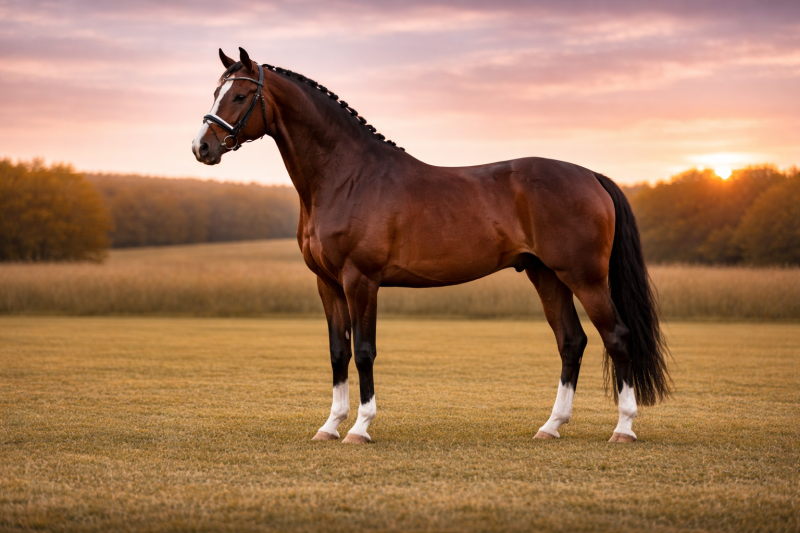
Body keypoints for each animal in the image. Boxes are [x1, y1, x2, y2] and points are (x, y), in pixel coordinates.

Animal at [192, 47, 671, 444]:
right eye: (216, 92)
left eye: (239, 96)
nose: (202, 147)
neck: (347, 177)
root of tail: (591, 176)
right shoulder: (327, 283)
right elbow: (338, 352)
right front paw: (330, 426)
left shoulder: (361, 281)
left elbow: (364, 351)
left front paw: (360, 429)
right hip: (546, 275)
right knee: (571, 341)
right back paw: (550, 426)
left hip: (584, 277)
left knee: (617, 336)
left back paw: (623, 429)